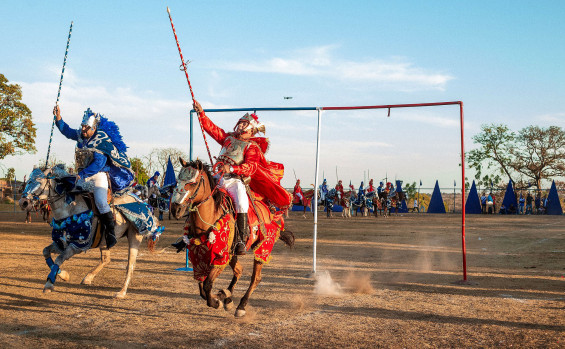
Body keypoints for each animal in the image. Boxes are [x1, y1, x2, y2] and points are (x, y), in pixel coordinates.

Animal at [169, 159, 294, 316]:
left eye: (193, 182)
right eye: (178, 180)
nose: (175, 209)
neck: (211, 216)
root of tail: (268, 211)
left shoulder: (221, 256)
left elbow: (207, 285)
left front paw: (216, 302)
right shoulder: (199, 257)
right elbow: (202, 287)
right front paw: (221, 297)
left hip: (262, 248)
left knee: (255, 278)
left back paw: (241, 306)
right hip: (233, 253)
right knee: (239, 271)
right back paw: (227, 296)